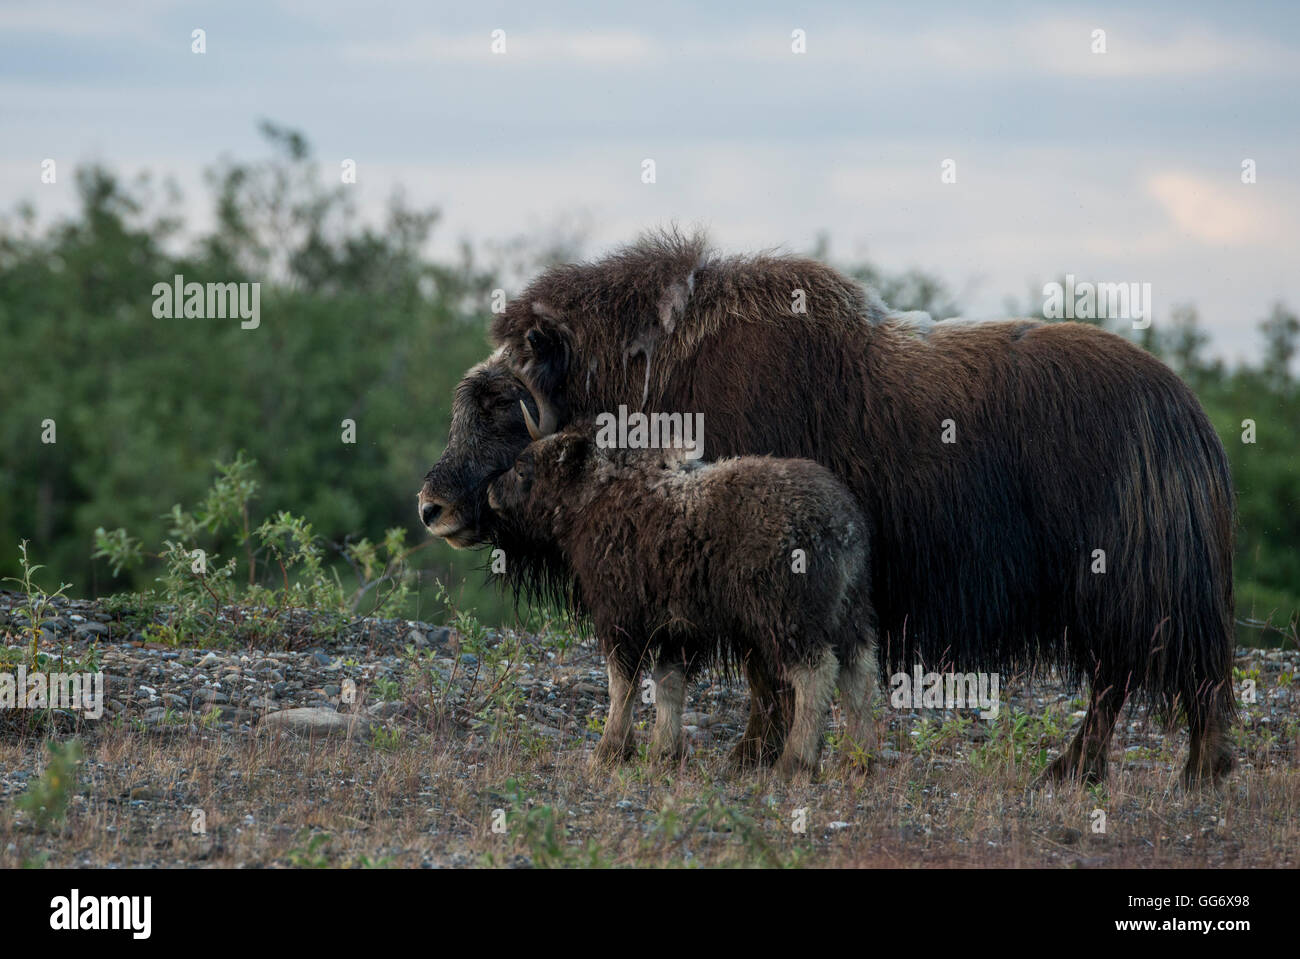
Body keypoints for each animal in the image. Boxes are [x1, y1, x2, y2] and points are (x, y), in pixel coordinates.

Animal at [486, 421, 873, 774]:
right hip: (848, 611)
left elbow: (622, 683)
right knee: (859, 672)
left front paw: (610, 751)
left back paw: (796, 762)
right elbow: (668, 683)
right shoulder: (680, 627)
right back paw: (858, 759)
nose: (490, 490)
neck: (593, 495)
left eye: (522, 466)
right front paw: (664, 752)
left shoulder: (619, 614)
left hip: (788, 616)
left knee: (816, 673)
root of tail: (842, 525)